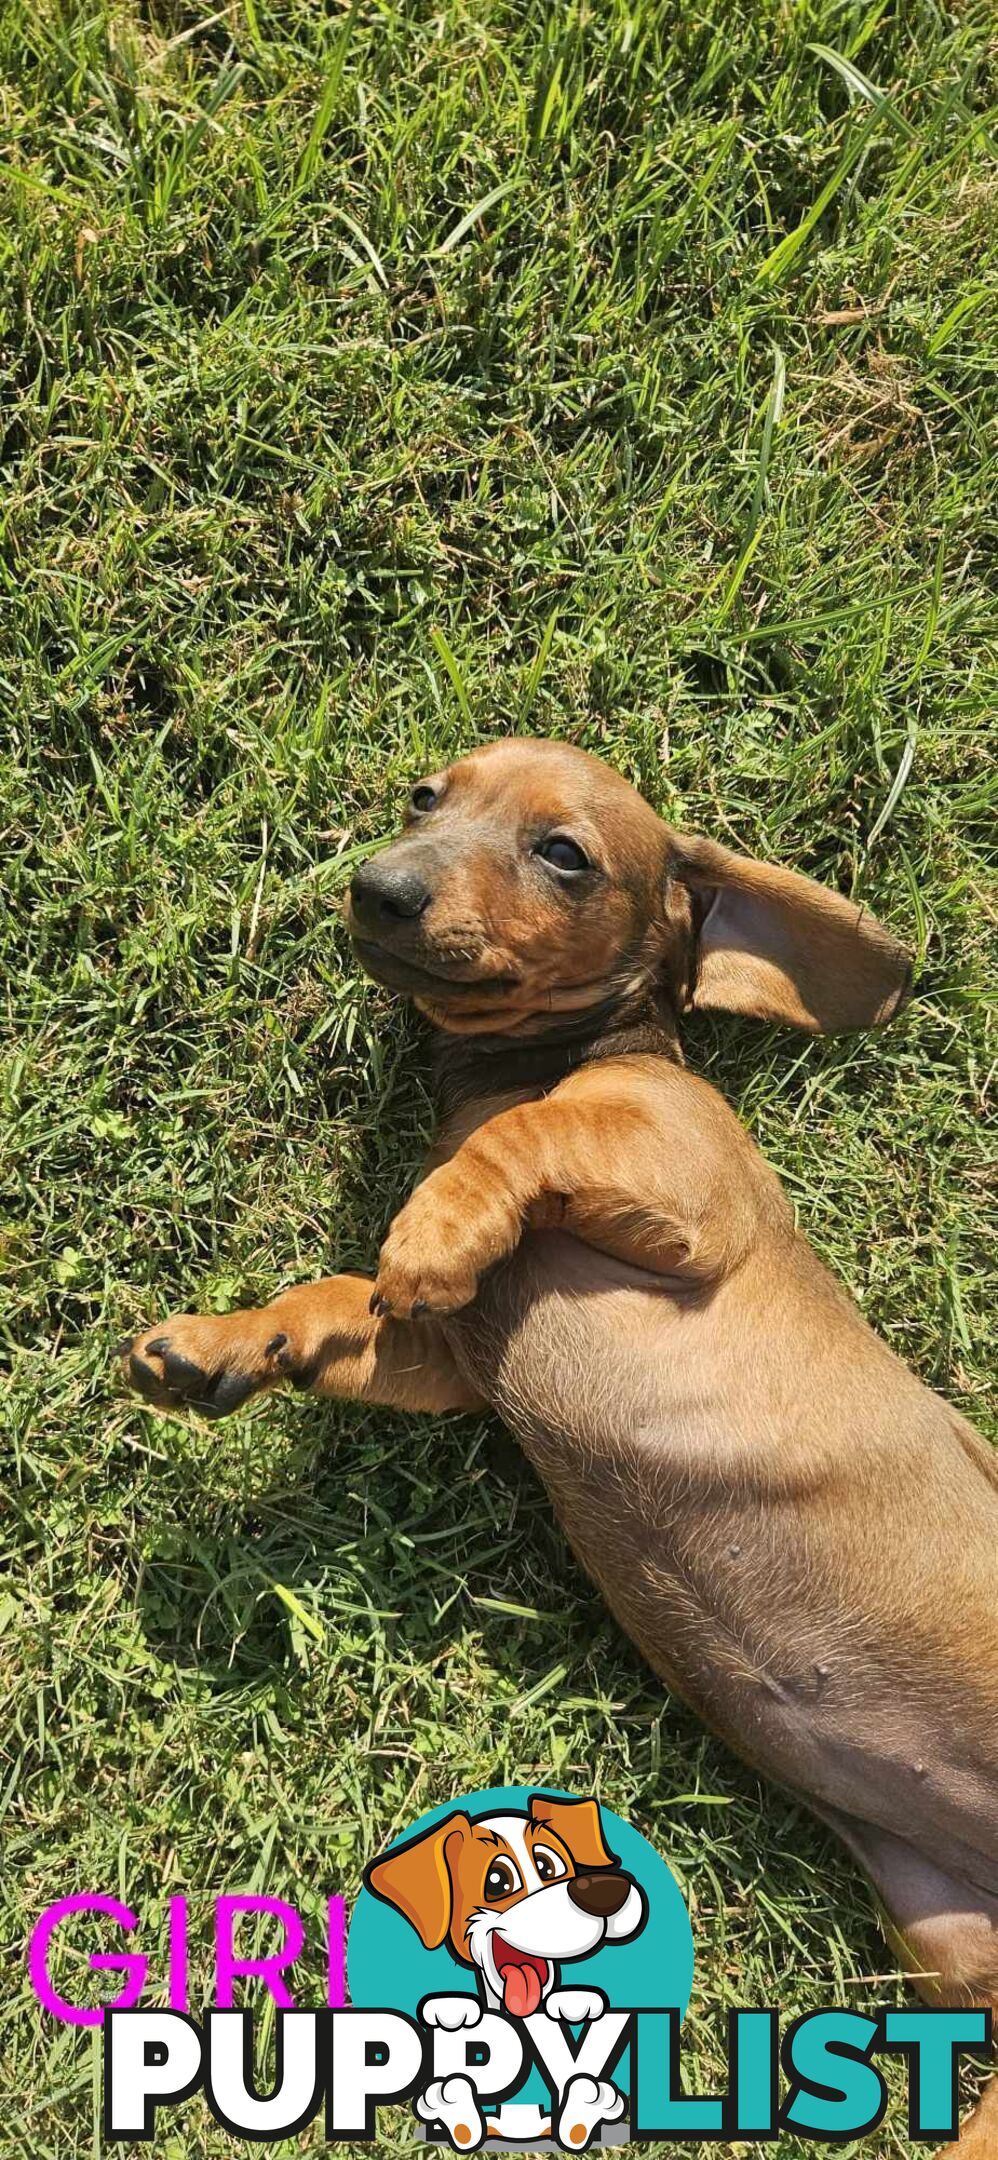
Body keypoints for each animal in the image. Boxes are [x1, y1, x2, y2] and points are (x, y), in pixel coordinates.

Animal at [118, 738, 998, 2142]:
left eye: (563, 854)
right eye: (425, 798)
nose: (378, 887)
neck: (532, 1060)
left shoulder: (679, 1181)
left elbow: (519, 1140)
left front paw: (435, 1218)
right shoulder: (439, 1359)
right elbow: (339, 1299)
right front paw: (227, 1340)